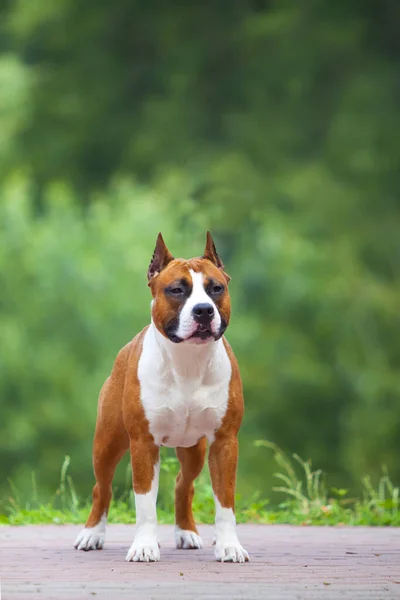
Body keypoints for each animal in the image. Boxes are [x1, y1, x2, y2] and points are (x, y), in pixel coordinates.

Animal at [74, 231, 248, 564]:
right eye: (177, 290)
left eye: (216, 288)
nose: (204, 310)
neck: (188, 361)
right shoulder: (143, 443)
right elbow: (145, 504)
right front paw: (144, 545)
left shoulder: (224, 443)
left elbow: (225, 501)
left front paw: (229, 545)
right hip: (107, 443)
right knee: (102, 488)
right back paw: (92, 534)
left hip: (194, 449)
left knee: (183, 485)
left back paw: (186, 532)